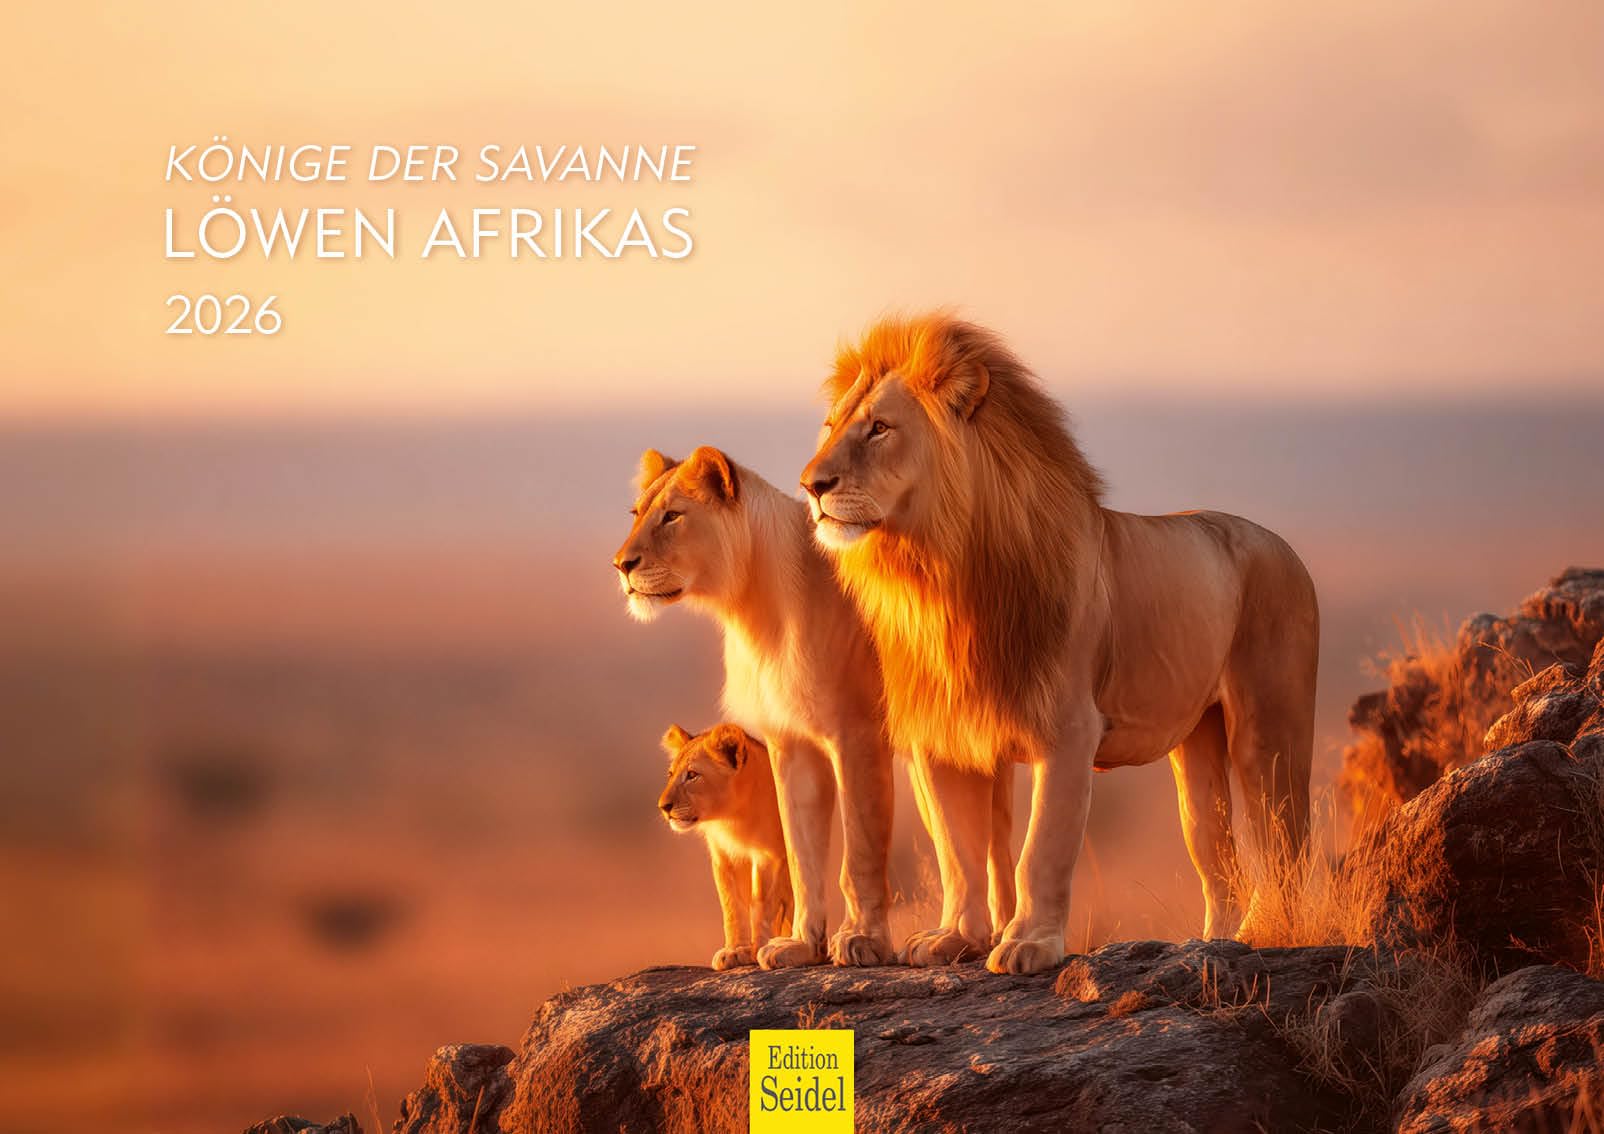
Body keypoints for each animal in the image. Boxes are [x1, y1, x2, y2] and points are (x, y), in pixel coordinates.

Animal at [658, 722, 794, 970]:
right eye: (670, 774)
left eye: (692, 775)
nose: (663, 807)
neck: (731, 818)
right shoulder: (725, 858)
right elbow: (732, 905)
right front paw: (735, 950)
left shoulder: (770, 856)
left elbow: (761, 903)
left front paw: (759, 949)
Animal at [800, 313, 1319, 974]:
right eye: (830, 426)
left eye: (880, 428)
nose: (811, 485)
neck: (935, 578)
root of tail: (1283, 545)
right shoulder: (941, 737)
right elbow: (958, 851)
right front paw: (955, 938)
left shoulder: (1069, 729)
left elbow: (1040, 850)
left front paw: (1028, 945)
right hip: (1198, 741)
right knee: (1214, 846)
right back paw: (1219, 942)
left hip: (1269, 727)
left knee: (1285, 840)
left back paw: (1274, 933)